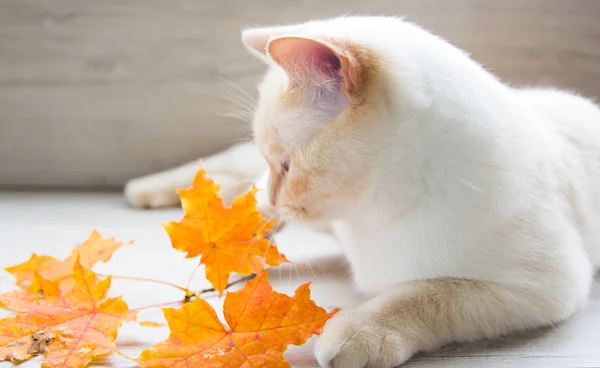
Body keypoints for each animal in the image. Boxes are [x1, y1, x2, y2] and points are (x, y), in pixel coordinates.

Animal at [124, 15, 596, 366]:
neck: (365, 219)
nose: (275, 196)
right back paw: (150, 191)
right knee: (230, 171)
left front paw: (358, 333)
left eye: (287, 166)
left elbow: (424, 293)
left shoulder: (541, 286)